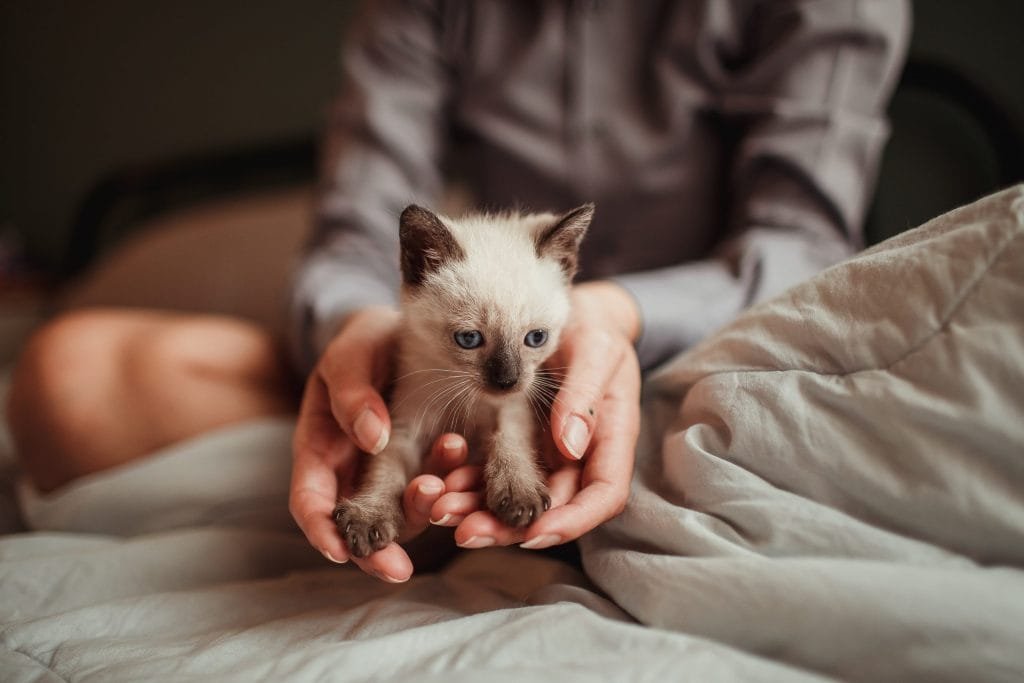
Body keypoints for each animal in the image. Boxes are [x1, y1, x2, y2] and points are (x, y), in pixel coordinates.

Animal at [335, 200, 593, 557]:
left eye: (536, 338)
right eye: (469, 339)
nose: (506, 381)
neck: (464, 398)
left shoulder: (513, 407)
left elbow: (510, 441)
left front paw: (518, 494)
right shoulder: (404, 424)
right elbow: (385, 468)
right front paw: (368, 516)